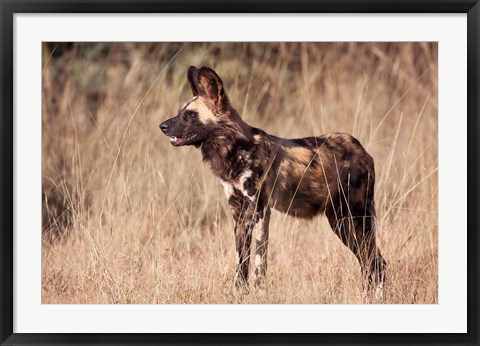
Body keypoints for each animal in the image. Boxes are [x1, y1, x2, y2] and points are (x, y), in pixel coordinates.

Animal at [160, 67, 386, 298]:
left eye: (190, 115)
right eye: (180, 112)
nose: (163, 126)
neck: (235, 150)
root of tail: (362, 150)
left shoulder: (260, 210)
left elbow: (260, 263)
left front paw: (259, 293)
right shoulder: (238, 214)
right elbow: (241, 262)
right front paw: (239, 294)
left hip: (354, 218)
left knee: (375, 262)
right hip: (341, 222)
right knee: (369, 261)